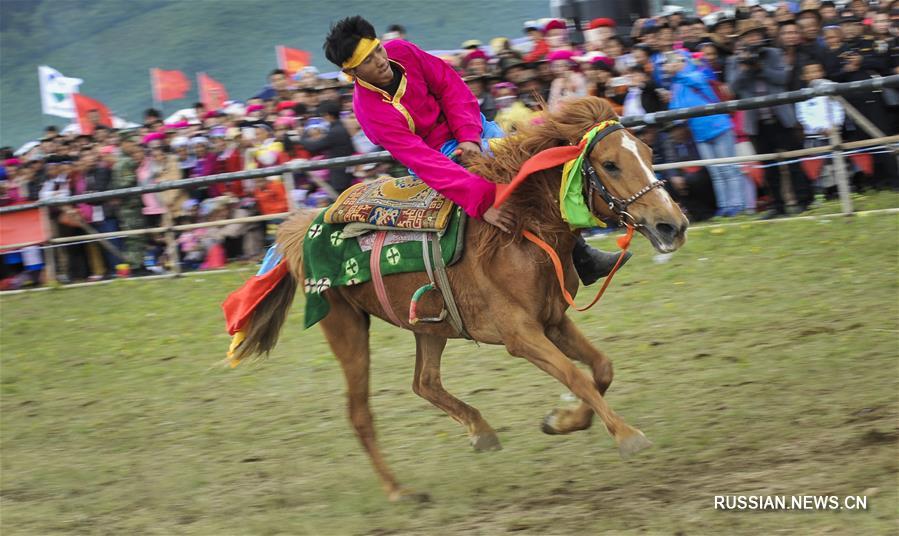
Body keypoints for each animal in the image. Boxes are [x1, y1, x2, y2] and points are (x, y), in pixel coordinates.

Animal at [232, 97, 688, 502]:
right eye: (610, 164)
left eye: (648, 153)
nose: (673, 225)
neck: (517, 231)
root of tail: (302, 228)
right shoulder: (521, 336)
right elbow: (576, 376)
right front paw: (626, 435)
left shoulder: (554, 320)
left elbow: (601, 370)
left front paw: (560, 421)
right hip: (345, 326)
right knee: (361, 412)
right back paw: (399, 491)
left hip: (428, 324)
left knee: (425, 382)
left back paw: (480, 432)